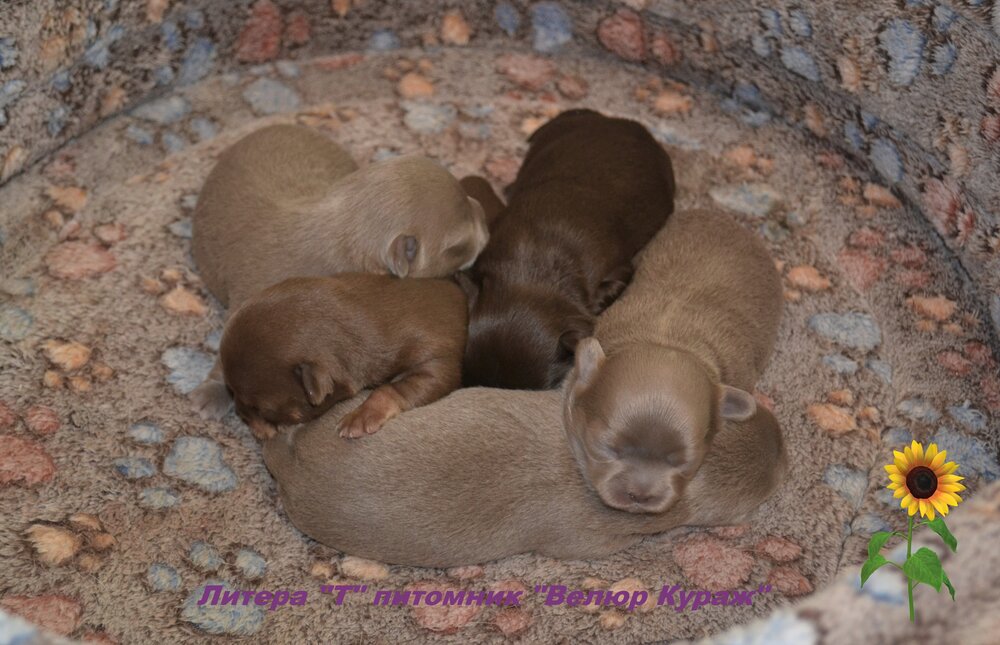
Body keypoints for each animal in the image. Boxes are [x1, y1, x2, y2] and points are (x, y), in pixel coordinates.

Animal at [219, 274, 467, 440]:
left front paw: (362, 415)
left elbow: (394, 388)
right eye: (230, 390)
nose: (239, 413)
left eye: (262, 409)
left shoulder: (435, 359)